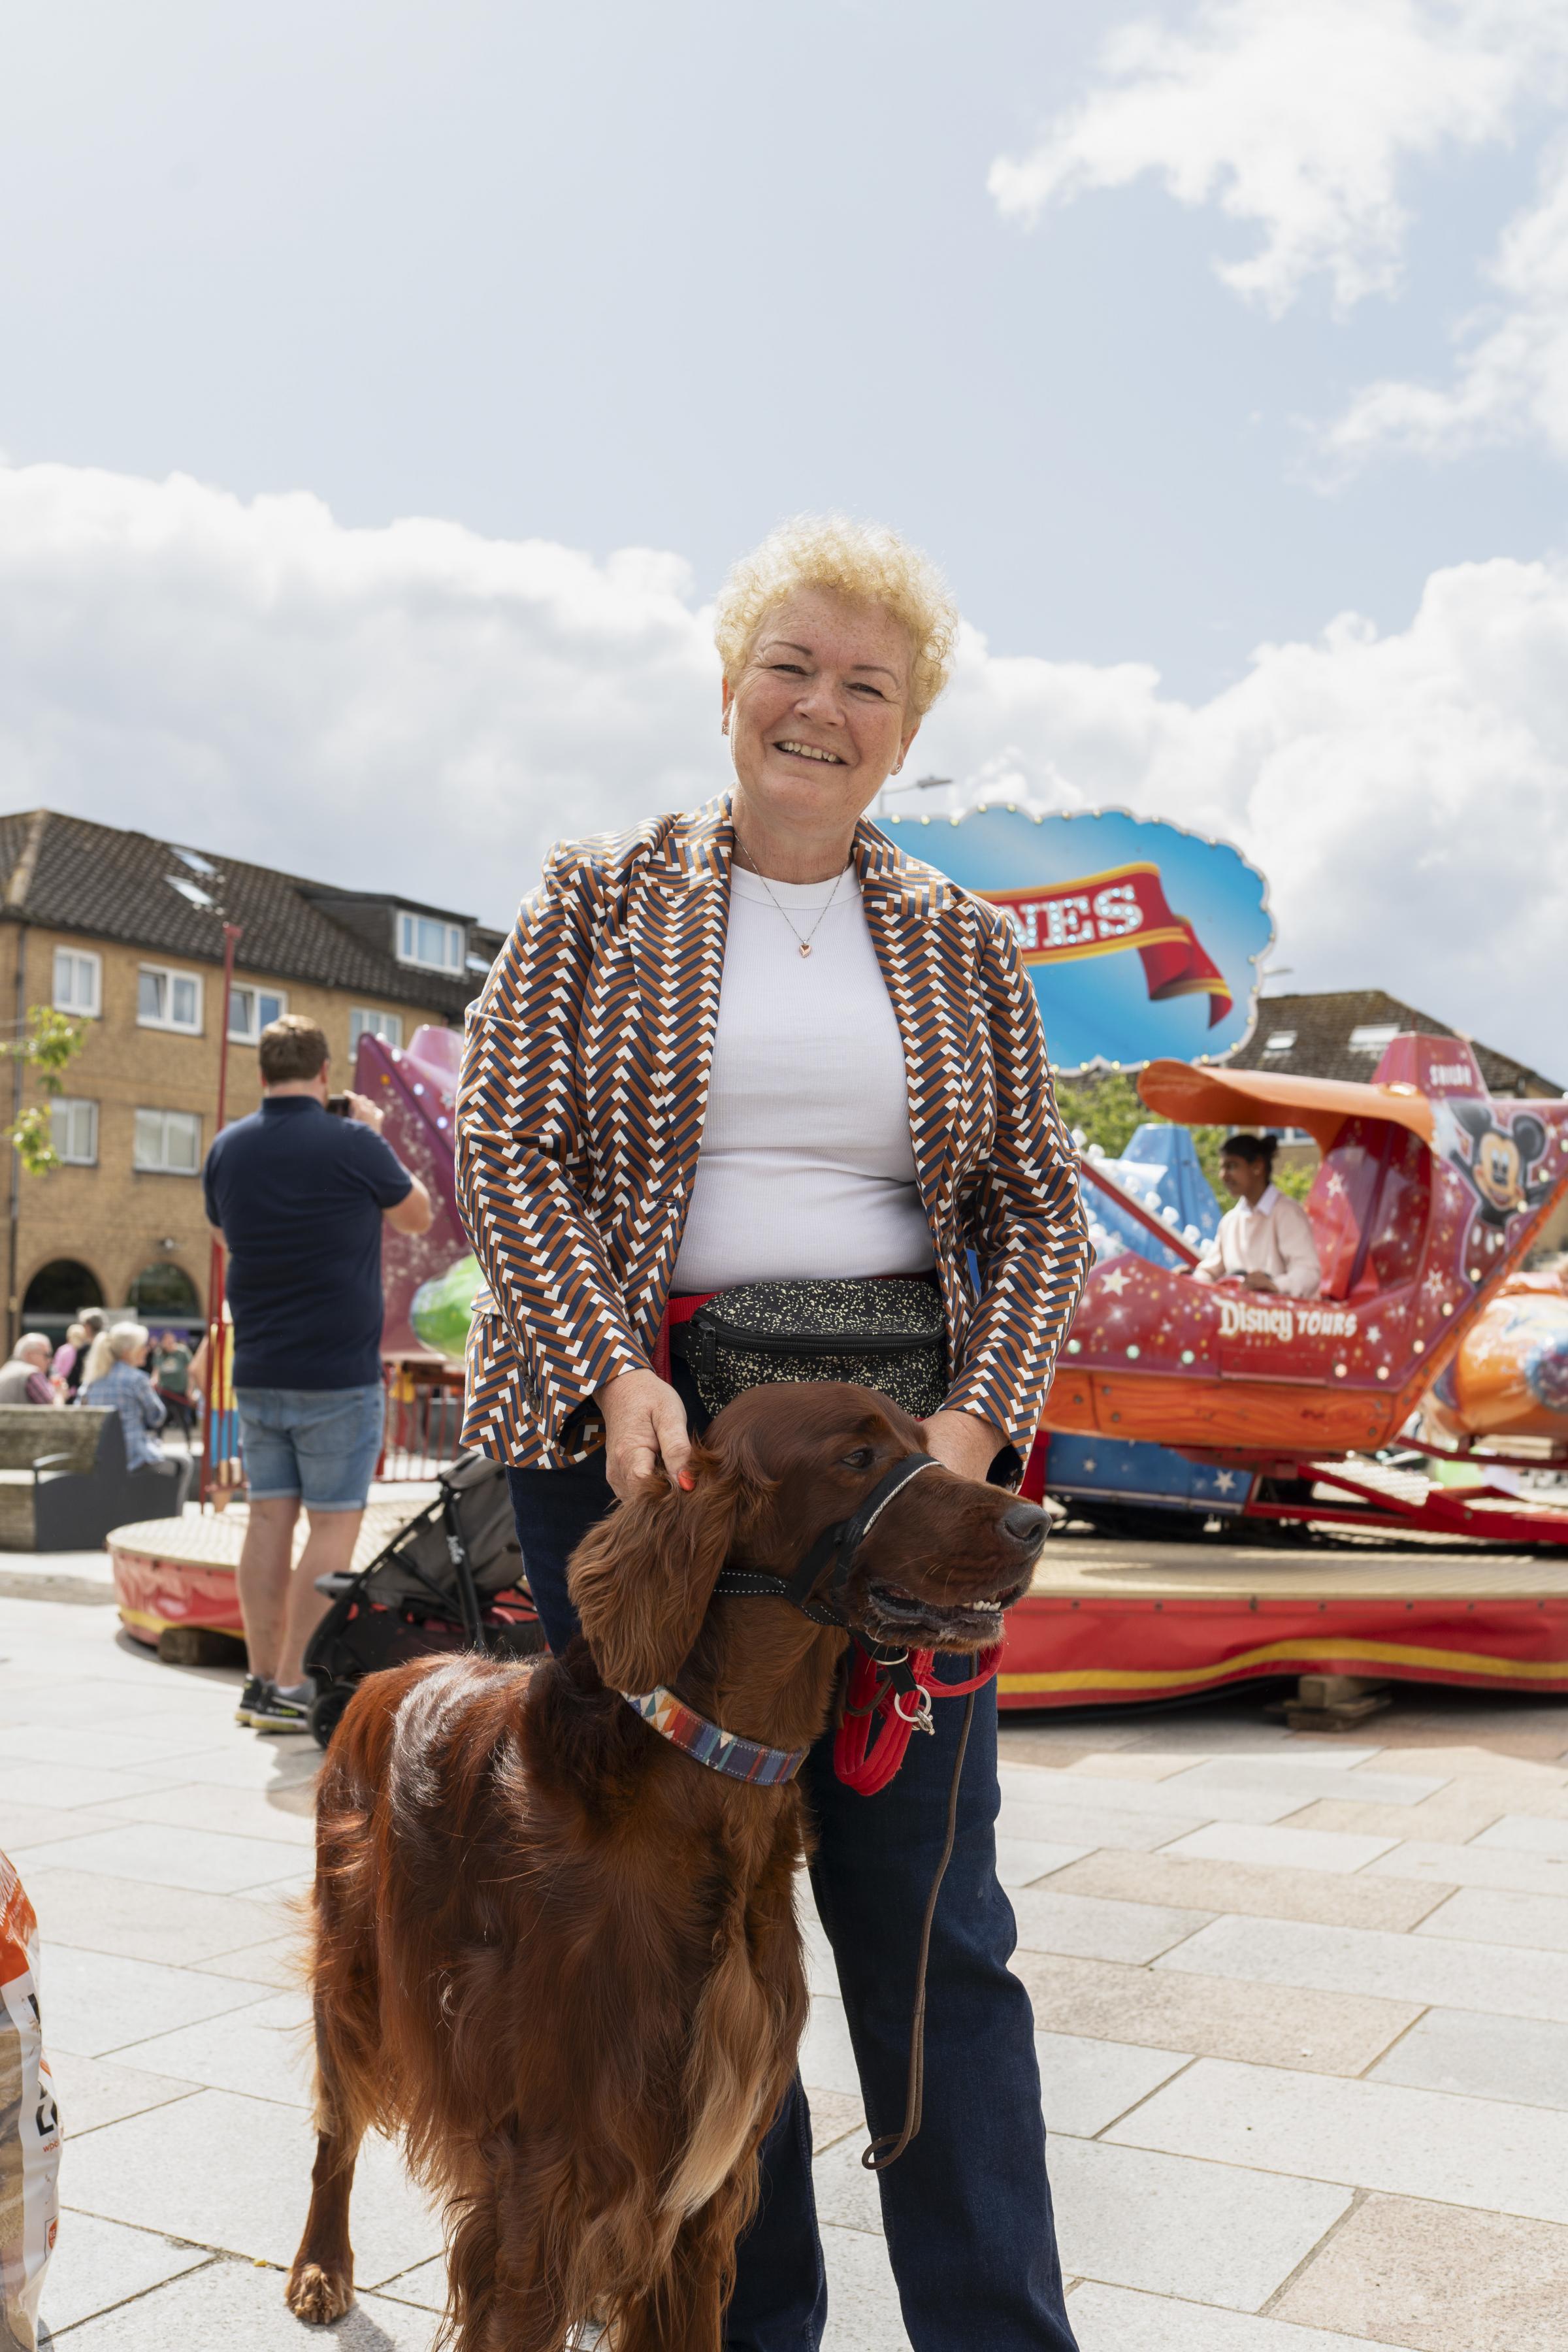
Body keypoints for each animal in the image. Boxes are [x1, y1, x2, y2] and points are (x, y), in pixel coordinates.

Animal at [286, 1382, 1043, 2342]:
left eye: (930, 1446)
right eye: (856, 1458)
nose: (1035, 1521)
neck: (711, 1773)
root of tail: (383, 1674)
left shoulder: (698, 2195)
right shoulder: (541, 2176)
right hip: (355, 1978)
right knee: (332, 2130)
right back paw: (320, 2269)